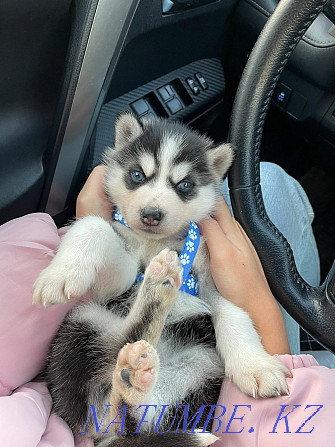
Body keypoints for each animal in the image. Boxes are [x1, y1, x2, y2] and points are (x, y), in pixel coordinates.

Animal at [33, 114, 288, 447]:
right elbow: (94, 226)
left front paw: (256, 365)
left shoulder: (213, 276)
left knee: (132, 410)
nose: (151, 214)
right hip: (83, 320)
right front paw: (60, 272)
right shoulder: (120, 278)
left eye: (185, 185)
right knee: (119, 357)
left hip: (200, 366)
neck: (155, 244)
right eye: (137, 175)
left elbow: (233, 313)